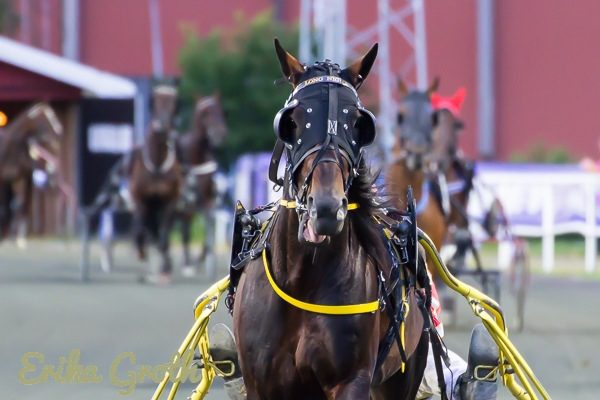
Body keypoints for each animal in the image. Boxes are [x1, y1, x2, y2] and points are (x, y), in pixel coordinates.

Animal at [0, 102, 63, 247]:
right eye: (47, 119)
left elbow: (22, 205)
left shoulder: (24, 178)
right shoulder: (3, 179)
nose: (59, 129)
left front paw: (19, 238)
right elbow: (5, 207)